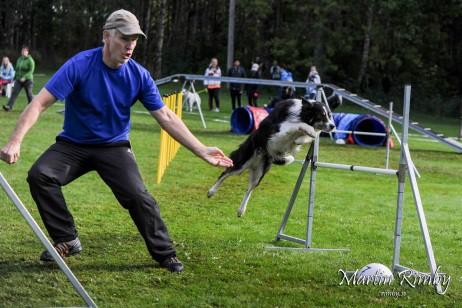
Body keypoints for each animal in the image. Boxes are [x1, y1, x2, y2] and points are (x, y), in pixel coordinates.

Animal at [208, 96, 342, 217]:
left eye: (329, 115)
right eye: (322, 115)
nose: (333, 126)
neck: (301, 113)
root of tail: (253, 164)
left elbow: (305, 137)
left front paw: (302, 138)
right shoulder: (278, 130)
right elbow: (298, 125)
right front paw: (308, 130)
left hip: (259, 173)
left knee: (249, 189)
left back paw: (241, 210)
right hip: (242, 161)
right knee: (225, 173)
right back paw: (211, 191)